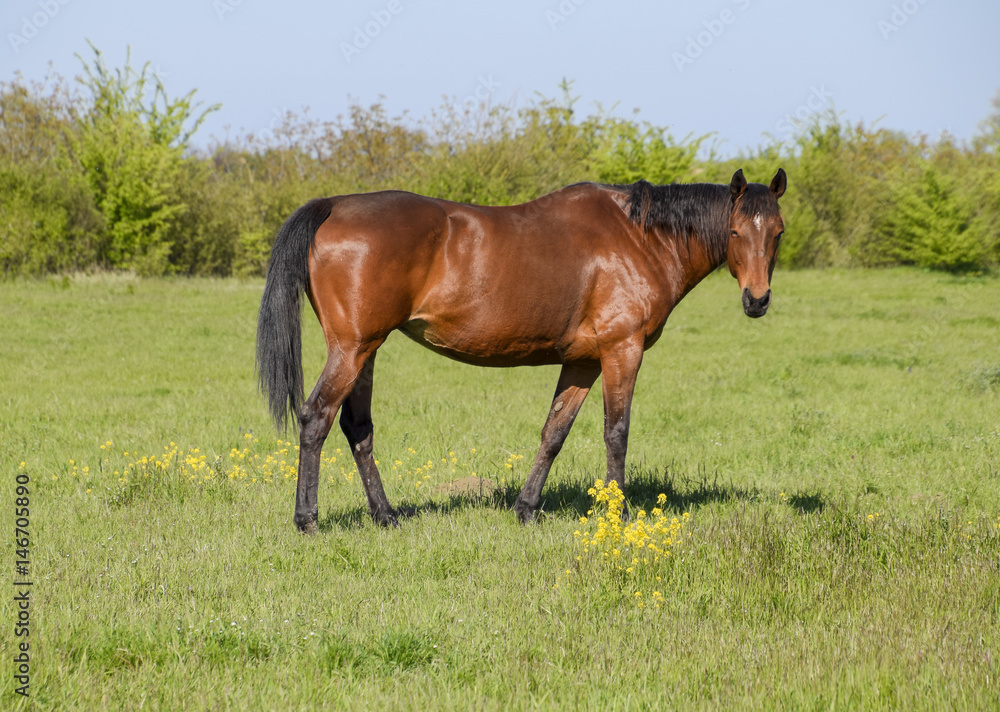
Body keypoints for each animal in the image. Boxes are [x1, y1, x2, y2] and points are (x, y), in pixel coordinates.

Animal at [254, 170, 784, 532]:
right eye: (736, 232)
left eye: (777, 232)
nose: (757, 300)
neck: (639, 238)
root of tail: (334, 205)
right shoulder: (622, 350)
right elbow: (616, 433)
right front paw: (619, 512)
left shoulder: (582, 361)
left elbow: (554, 432)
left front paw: (526, 509)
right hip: (352, 349)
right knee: (316, 417)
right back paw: (307, 518)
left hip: (366, 351)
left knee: (356, 427)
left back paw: (385, 515)